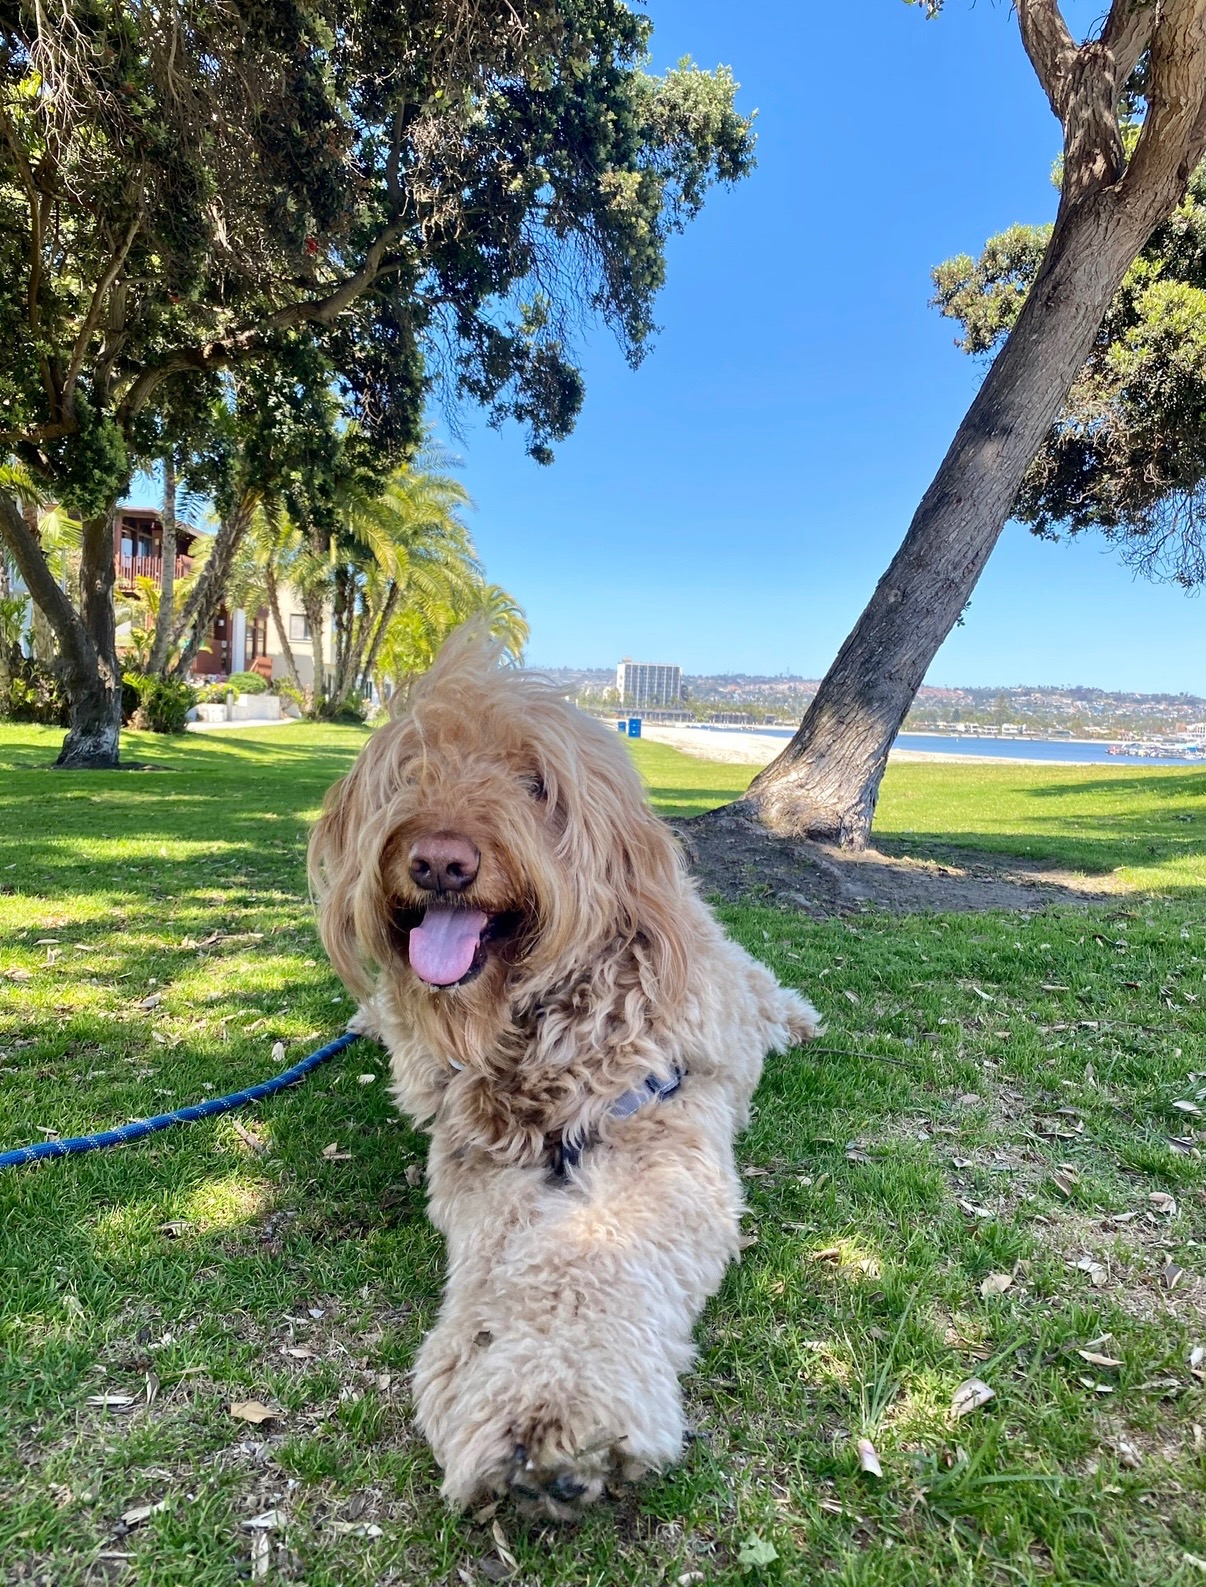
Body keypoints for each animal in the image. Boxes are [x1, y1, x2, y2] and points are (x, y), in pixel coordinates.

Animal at [308, 625, 820, 1518]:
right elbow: (508, 1263)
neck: (534, 1031)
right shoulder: (479, 1157)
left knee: (767, 994)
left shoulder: (656, 1136)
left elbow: (589, 1260)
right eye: (411, 769)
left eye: (534, 781)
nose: (439, 861)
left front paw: (557, 1406)